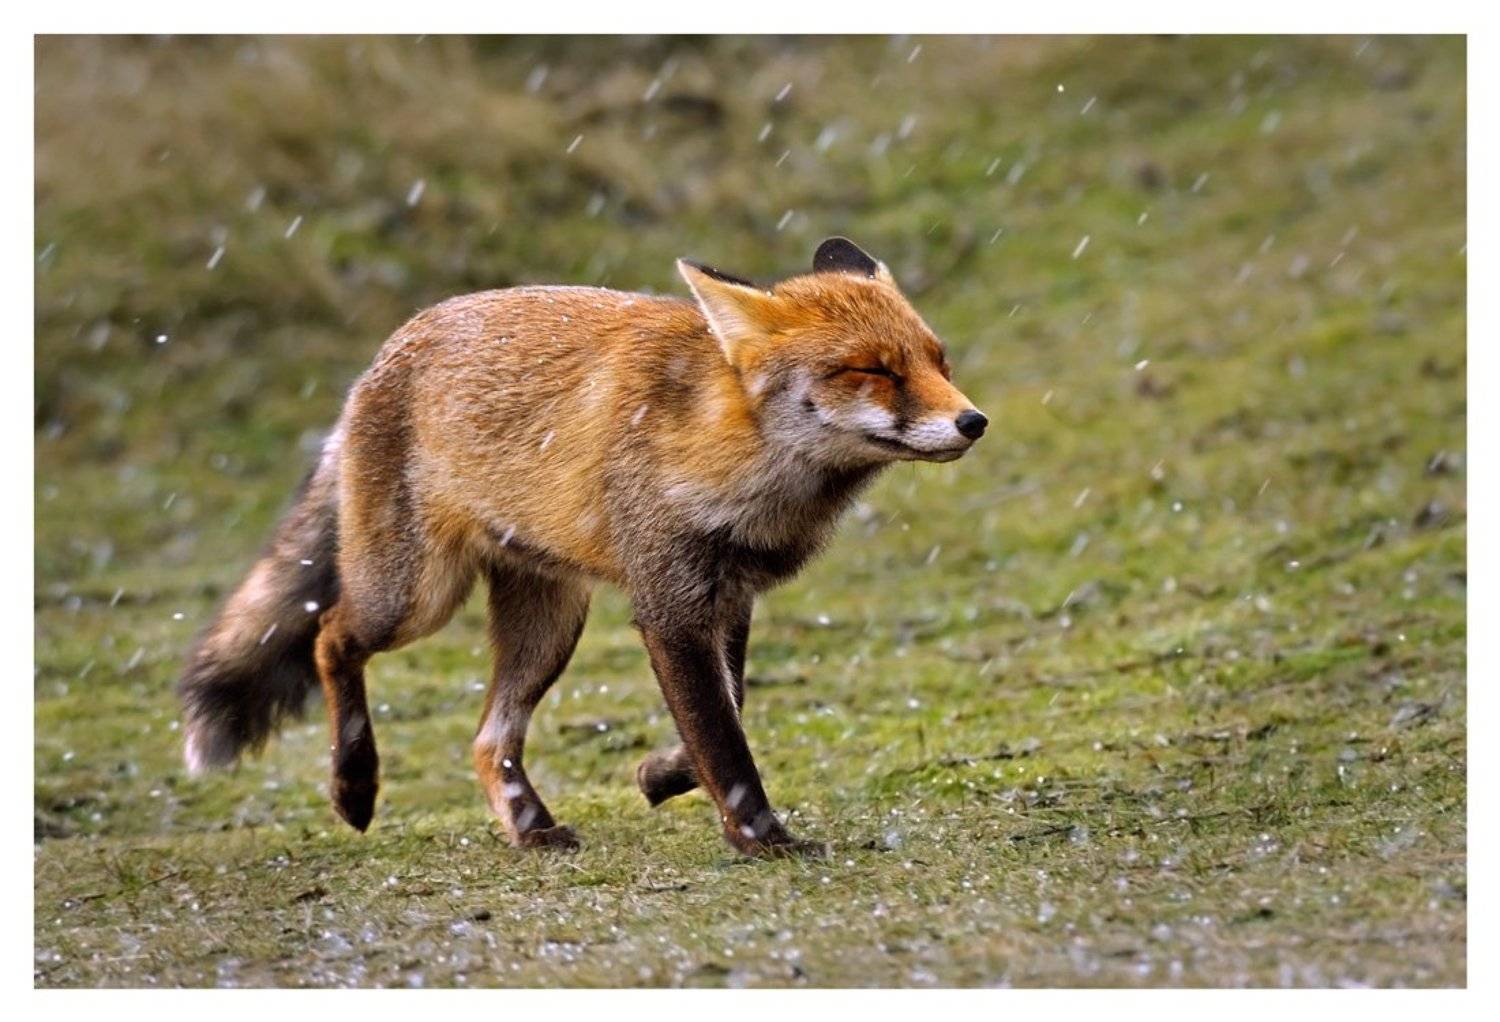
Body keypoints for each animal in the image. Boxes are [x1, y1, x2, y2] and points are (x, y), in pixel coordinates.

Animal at [178, 237, 987, 857]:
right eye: (873, 370)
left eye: (938, 362)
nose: (973, 422)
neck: (737, 460)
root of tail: (380, 358)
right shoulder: (669, 607)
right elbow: (724, 744)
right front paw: (763, 839)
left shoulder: (726, 599)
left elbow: (728, 706)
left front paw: (660, 774)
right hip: (414, 598)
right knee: (329, 635)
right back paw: (354, 785)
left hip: (551, 626)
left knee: (486, 738)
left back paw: (530, 827)